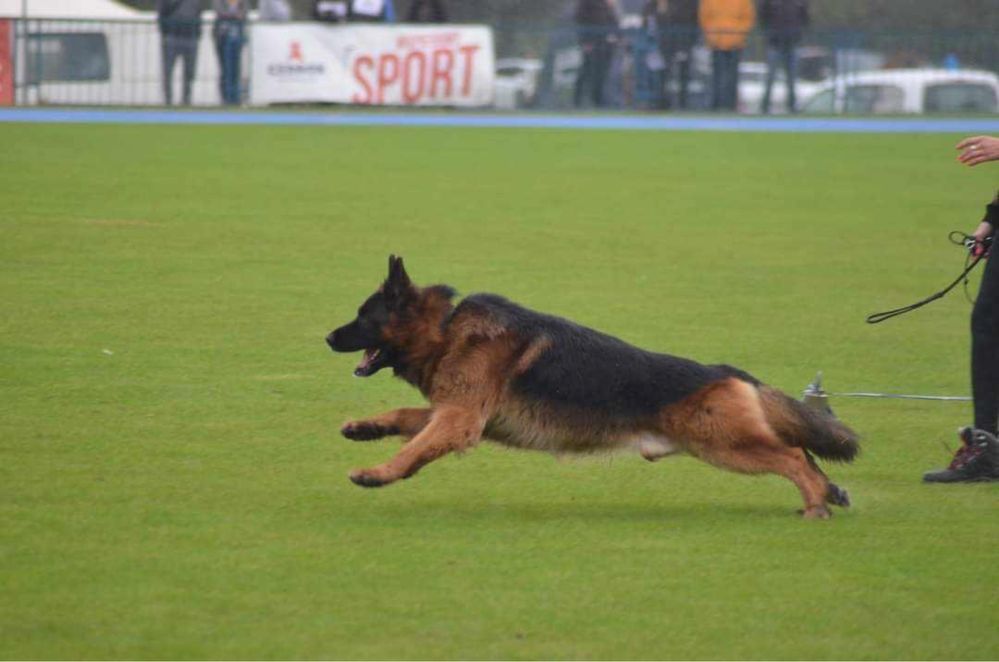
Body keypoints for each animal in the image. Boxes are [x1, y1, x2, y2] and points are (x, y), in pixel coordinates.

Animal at [328, 256, 860, 520]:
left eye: (362, 317)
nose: (328, 338)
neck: (446, 329)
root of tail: (728, 372)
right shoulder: (460, 414)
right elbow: (403, 419)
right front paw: (364, 428)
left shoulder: (460, 420)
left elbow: (413, 447)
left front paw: (377, 474)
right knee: (801, 452)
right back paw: (828, 494)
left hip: (725, 445)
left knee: (793, 456)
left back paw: (816, 503)